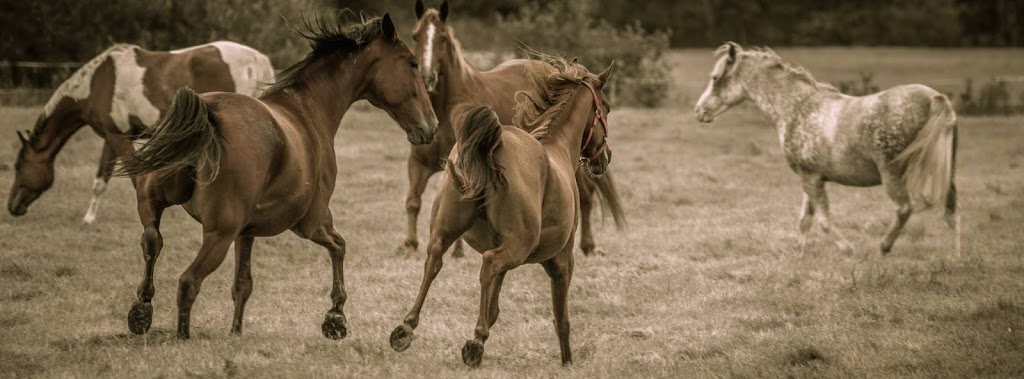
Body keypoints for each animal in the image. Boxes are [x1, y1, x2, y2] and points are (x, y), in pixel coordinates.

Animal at [9, 40, 272, 225]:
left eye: (19, 166)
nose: (12, 206)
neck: (94, 85)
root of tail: (259, 60)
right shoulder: (111, 138)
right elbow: (100, 179)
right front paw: (89, 218)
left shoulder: (119, 138)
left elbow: (136, 178)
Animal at [115, 14, 436, 340]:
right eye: (412, 63)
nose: (431, 126)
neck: (308, 111)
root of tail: (208, 116)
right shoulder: (311, 222)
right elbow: (340, 246)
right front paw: (335, 318)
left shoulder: (247, 232)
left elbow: (242, 285)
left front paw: (236, 333)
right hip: (219, 234)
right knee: (188, 281)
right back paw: (181, 337)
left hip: (154, 205)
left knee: (152, 242)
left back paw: (141, 312)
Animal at [389, 57, 614, 366]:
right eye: (606, 107)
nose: (605, 157)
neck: (556, 147)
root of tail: (492, 147)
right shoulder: (561, 261)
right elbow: (561, 318)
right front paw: (567, 361)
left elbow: (493, 306)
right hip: (518, 247)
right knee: (488, 263)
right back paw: (475, 341)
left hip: (447, 231)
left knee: (434, 260)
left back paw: (406, 328)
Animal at [397, 0, 622, 259]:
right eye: (415, 36)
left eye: (442, 38)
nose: (427, 77)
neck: (444, 111)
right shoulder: (418, 163)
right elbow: (413, 201)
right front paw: (410, 245)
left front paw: (457, 251)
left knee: (586, 194)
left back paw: (588, 244)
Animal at [692, 43, 962, 257]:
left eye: (715, 77)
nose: (699, 112)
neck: (796, 108)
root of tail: (935, 98)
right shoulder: (811, 177)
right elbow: (805, 218)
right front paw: (799, 255)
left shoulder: (810, 177)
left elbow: (821, 220)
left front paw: (848, 249)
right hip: (946, 174)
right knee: (951, 212)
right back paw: (954, 258)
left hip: (892, 174)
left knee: (905, 208)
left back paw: (884, 247)